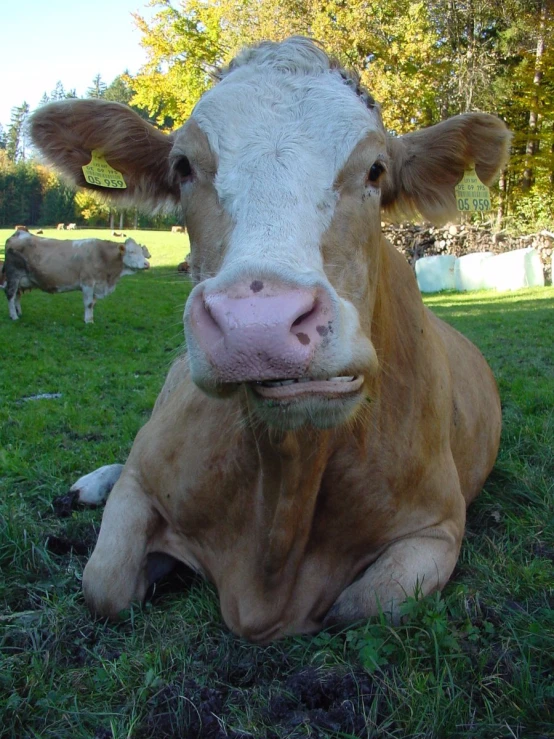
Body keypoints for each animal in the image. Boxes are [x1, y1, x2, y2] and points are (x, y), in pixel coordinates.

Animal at [3, 231, 149, 324]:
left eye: (142, 252)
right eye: (131, 252)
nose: (147, 264)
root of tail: (19, 233)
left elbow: (92, 304)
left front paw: (89, 318)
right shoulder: (87, 283)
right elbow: (88, 303)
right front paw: (89, 321)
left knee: (17, 296)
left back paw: (18, 313)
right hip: (13, 275)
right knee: (10, 295)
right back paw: (14, 316)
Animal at [28, 36, 506, 640]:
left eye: (376, 169)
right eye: (182, 166)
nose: (259, 322)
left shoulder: (437, 526)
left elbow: (366, 606)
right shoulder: (145, 482)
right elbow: (104, 584)